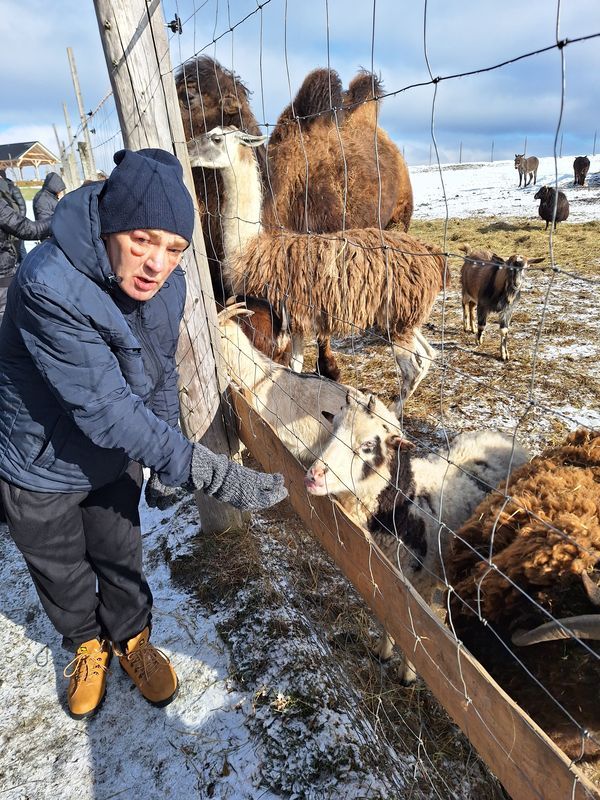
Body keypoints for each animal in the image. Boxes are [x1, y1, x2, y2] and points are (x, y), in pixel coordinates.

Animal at [188, 126, 446, 415]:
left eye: (216, 138)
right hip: (407, 316)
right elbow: (295, 364)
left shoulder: (290, 316)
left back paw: (393, 412)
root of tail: (432, 256)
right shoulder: (296, 320)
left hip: (397, 317)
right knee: (428, 355)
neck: (250, 246)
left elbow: (292, 365)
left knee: (413, 368)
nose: (188, 148)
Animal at [304, 391, 530, 683]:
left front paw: (407, 675)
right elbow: (390, 616)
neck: (404, 503)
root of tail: (504, 437)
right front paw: (382, 653)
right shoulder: (387, 575)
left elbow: (416, 635)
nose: (313, 477)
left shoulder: (419, 586)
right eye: (333, 429)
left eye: (367, 445)